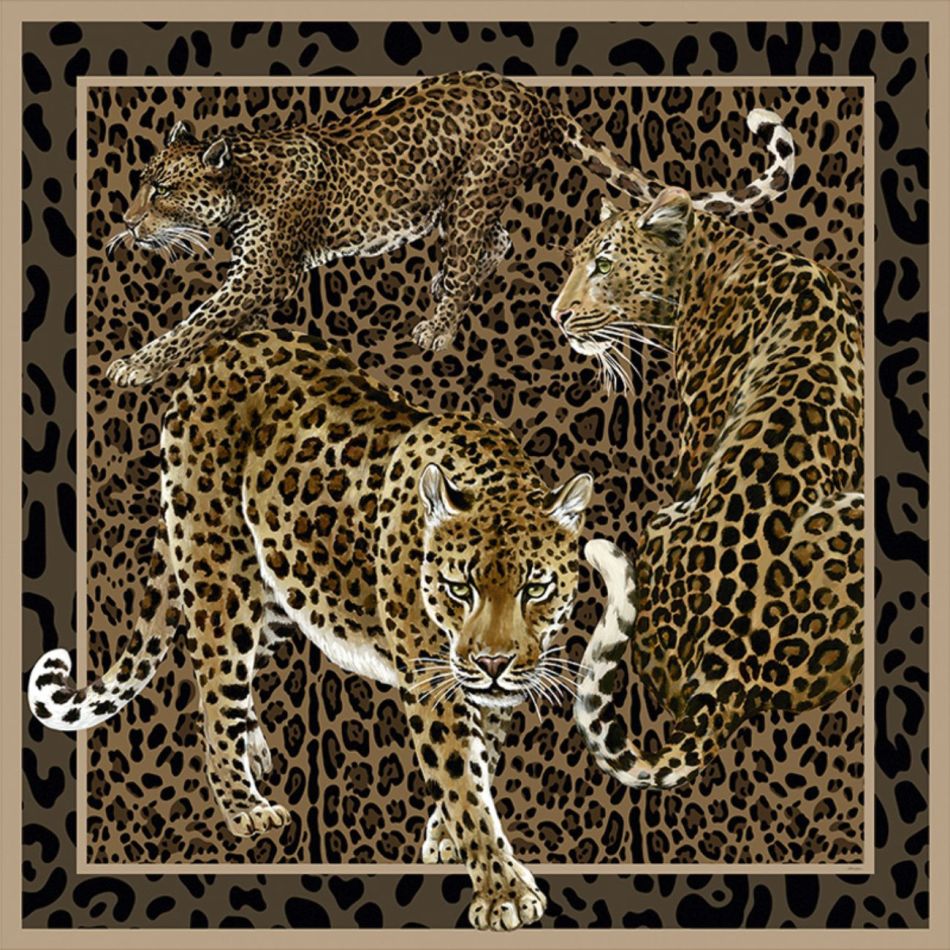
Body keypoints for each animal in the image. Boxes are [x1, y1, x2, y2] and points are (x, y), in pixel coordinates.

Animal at [29, 327, 597, 931]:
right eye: (458, 588)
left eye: (535, 588)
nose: (493, 663)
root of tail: (224, 349)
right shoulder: (431, 682)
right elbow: (462, 780)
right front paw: (503, 892)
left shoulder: (487, 688)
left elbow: (480, 759)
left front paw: (447, 840)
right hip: (219, 574)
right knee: (213, 689)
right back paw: (245, 806)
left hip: (282, 590)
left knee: (236, 678)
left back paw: (253, 746)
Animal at [103, 69, 795, 387]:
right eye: (141, 180)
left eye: (162, 190)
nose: (127, 223)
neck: (244, 177)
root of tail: (532, 96)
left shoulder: (264, 272)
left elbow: (198, 322)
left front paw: (135, 365)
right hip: (455, 202)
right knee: (495, 243)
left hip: (471, 191)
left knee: (477, 252)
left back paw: (438, 325)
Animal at [550, 185, 864, 789]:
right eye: (575, 261)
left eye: (604, 264)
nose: (558, 315)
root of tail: (731, 667)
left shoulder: (696, 439)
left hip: (662, 521)